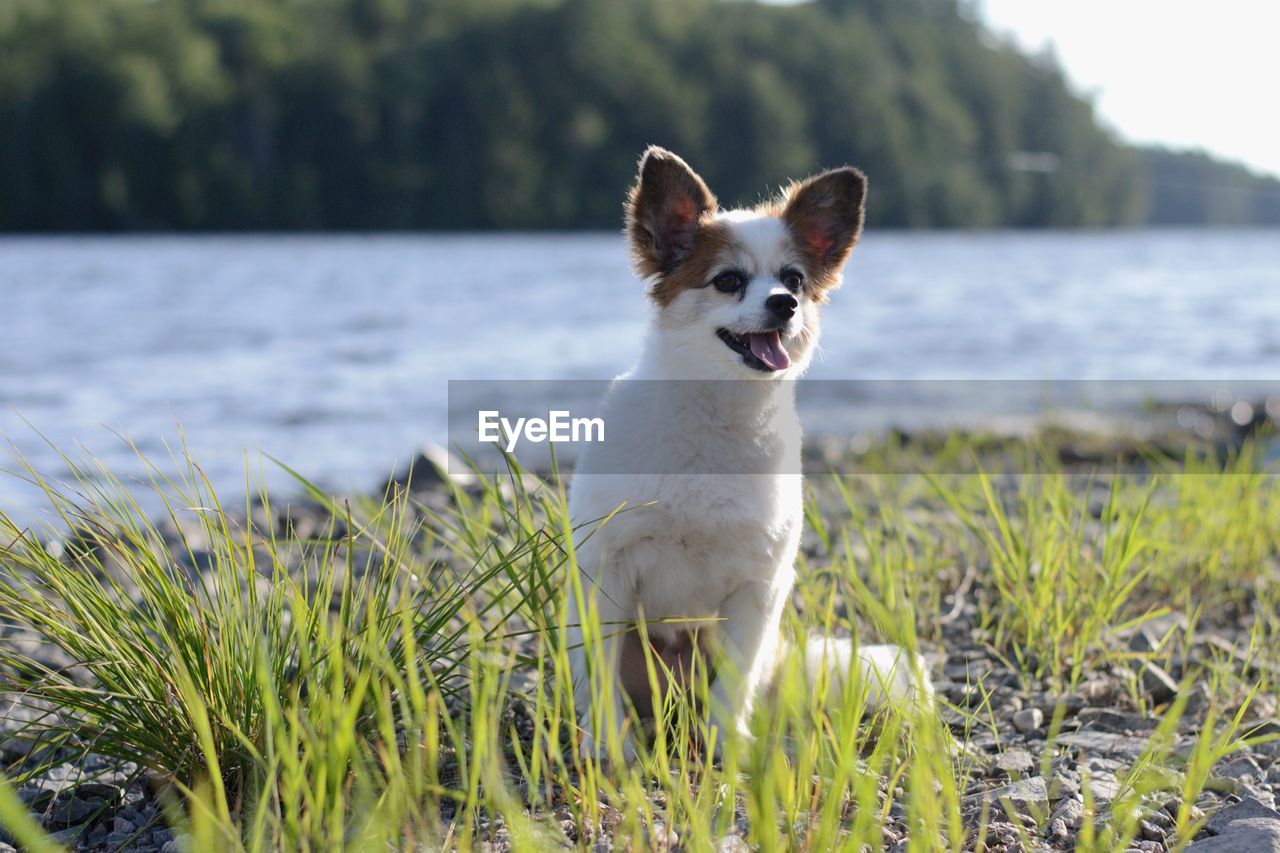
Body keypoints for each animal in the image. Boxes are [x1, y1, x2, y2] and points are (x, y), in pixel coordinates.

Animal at [565, 144, 926, 758]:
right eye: (728, 280)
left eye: (794, 280)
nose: (784, 304)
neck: (717, 416)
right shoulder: (607, 575)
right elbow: (602, 671)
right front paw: (609, 745)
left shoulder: (758, 589)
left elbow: (734, 684)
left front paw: (726, 744)